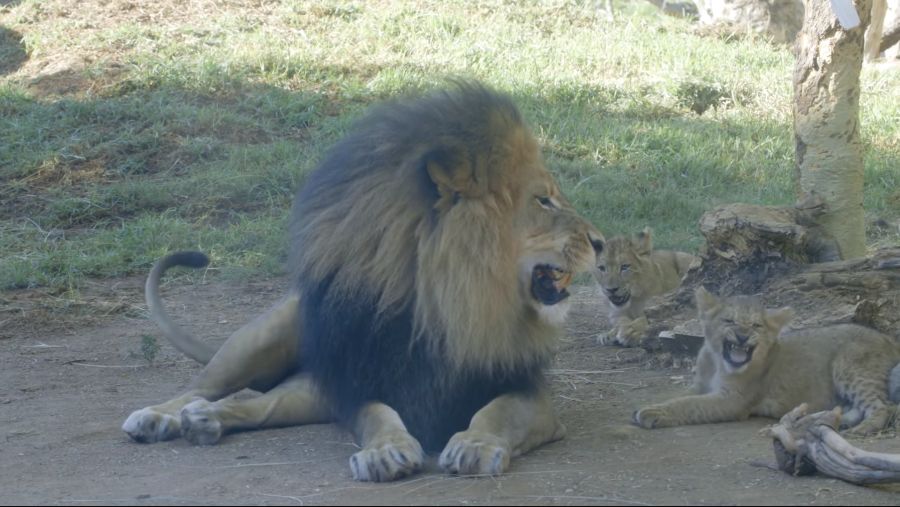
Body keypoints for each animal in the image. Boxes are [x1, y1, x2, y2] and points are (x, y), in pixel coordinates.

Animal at [121, 81, 604, 482]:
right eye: (543, 200)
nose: (601, 243)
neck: (454, 300)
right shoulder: (364, 379)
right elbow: (378, 414)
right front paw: (384, 453)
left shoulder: (528, 391)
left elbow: (498, 413)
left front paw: (475, 444)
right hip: (265, 338)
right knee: (204, 387)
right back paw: (159, 417)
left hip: (308, 389)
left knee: (259, 403)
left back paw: (205, 420)